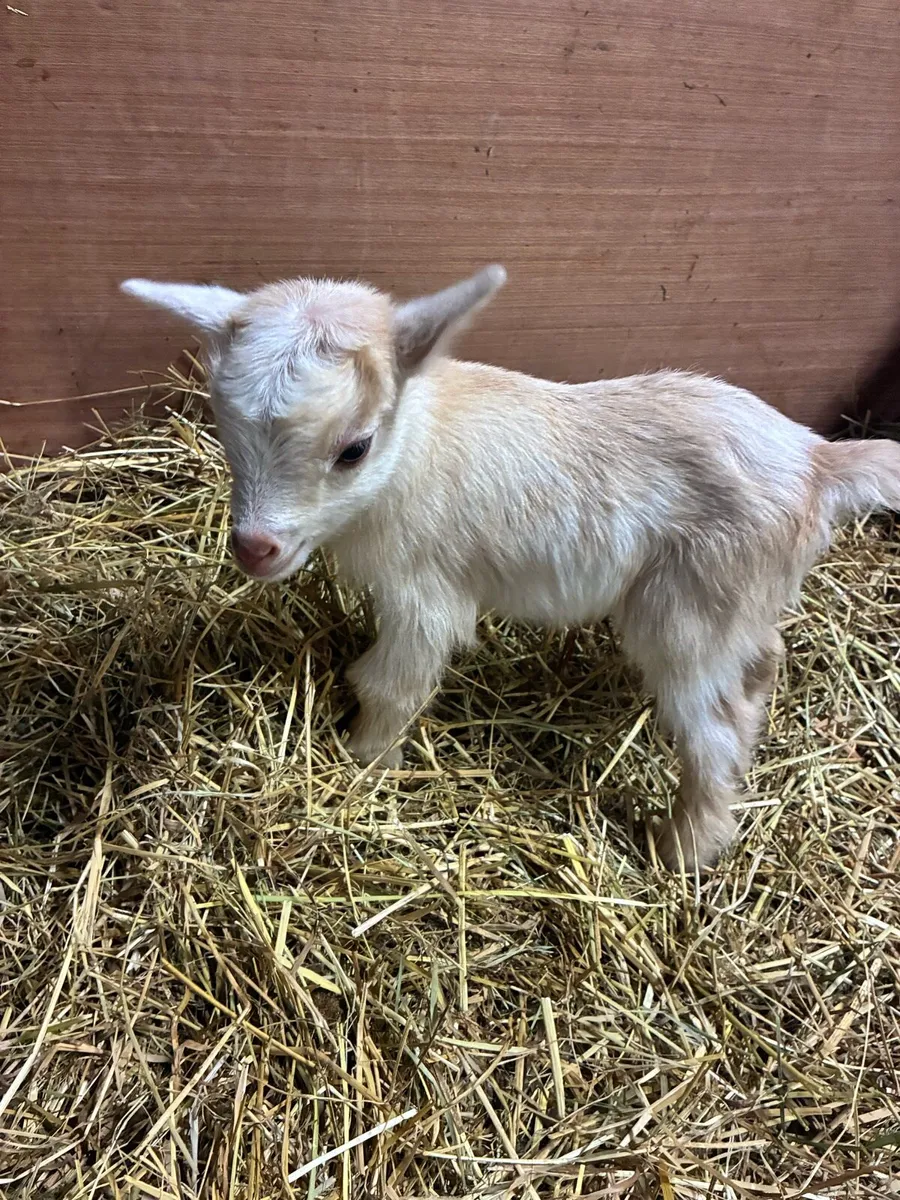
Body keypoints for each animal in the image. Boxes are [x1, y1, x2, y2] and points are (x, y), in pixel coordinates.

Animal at [122, 267, 900, 869]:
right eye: (225, 428)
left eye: (355, 449)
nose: (255, 548)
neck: (416, 448)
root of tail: (819, 462)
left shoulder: (426, 593)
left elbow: (393, 683)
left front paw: (361, 765)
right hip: (742, 600)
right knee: (762, 660)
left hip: (688, 611)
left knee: (717, 730)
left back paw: (682, 851)